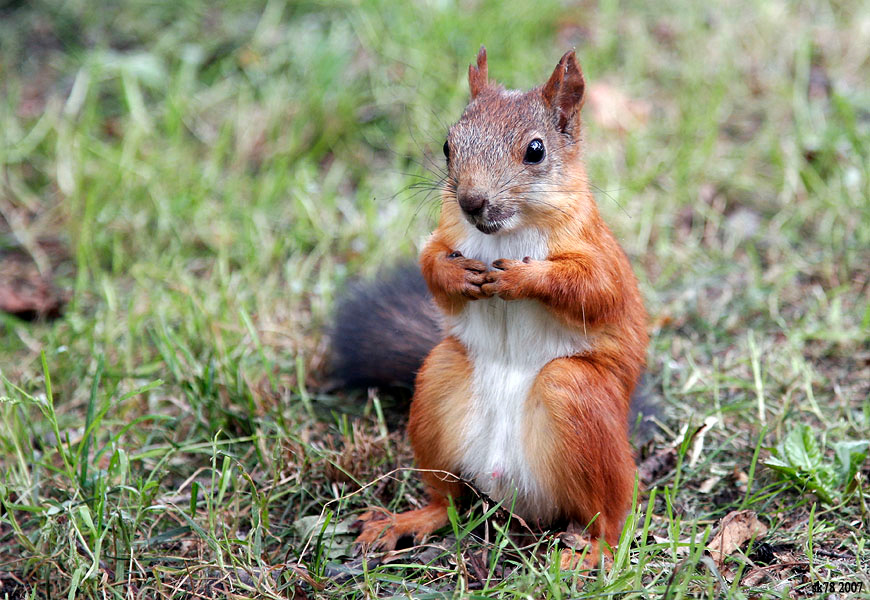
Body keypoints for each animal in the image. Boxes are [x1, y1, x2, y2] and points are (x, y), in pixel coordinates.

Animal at [331, 47, 650, 563]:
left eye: (536, 150)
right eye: (447, 145)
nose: (471, 200)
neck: (506, 231)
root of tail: (511, 491)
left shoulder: (598, 253)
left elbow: (594, 288)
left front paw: (522, 277)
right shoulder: (445, 234)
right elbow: (430, 264)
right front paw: (457, 275)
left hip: (578, 395)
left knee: (609, 517)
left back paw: (591, 552)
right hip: (438, 383)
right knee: (449, 500)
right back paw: (410, 520)